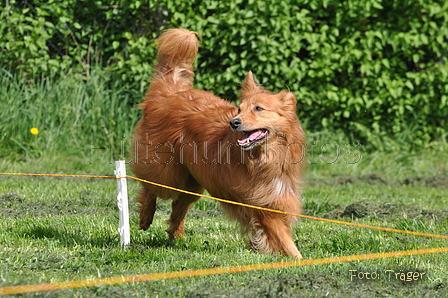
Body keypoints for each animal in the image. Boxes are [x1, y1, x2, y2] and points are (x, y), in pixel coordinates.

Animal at [131, 28, 306, 258]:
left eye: (258, 108)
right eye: (239, 109)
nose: (234, 122)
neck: (264, 157)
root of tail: (171, 93)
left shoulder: (277, 198)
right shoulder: (262, 207)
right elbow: (286, 241)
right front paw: (301, 260)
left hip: (193, 179)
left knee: (180, 203)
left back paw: (175, 232)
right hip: (168, 172)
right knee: (152, 186)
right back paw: (146, 217)